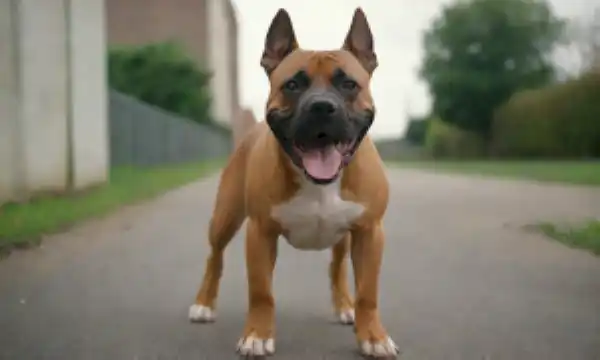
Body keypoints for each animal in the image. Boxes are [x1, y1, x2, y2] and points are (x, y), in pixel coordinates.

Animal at [186, 7, 398, 358]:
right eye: (293, 84)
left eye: (349, 84)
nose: (322, 107)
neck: (318, 182)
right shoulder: (260, 233)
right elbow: (261, 293)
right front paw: (257, 335)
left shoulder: (370, 233)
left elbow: (368, 292)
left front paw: (373, 336)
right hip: (225, 217)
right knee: (214, 257)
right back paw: (203, 304)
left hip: (344, 236)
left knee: (337, 266)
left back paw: (345, 306)